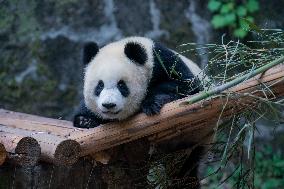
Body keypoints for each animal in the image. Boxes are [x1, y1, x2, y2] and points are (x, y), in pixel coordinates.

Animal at [72, 36, 206, 188]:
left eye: (121, 85)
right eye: (100, 85)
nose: (109, 105)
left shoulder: (165, 62)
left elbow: (186, 87)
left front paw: (152, 104)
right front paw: (85, 121)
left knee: (186, 167)